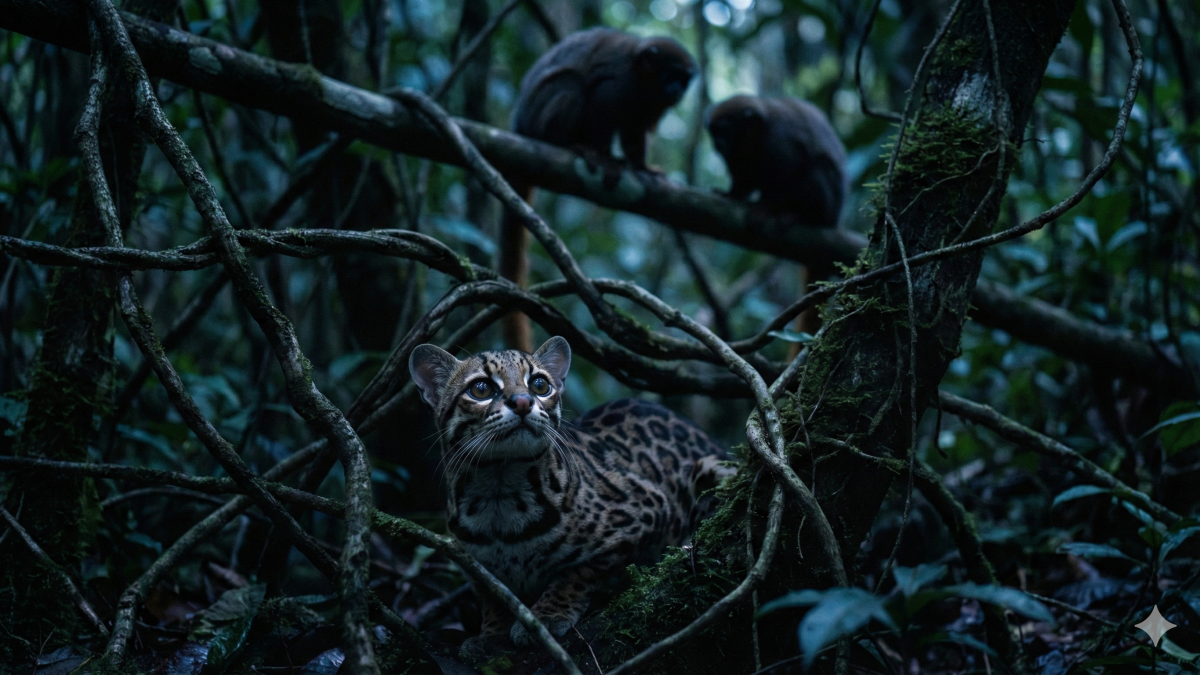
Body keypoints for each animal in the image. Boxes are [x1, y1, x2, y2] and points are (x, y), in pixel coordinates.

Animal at [499, 28, 697, 352]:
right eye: (670, 75)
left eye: (683, 79)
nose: (677, 90)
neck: (642, 81)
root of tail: (520, 127)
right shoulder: (620, 84)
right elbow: (601, 105)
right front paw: (602, 156)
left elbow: (633, 131)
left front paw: (642, 167)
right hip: (540, 119)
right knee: (573, 85)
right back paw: (572, 145)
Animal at [706, 95, 847, 348]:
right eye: (714, 133)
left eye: (725, 130)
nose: (718, 144)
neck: (755, 137)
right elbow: (743, 178)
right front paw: (731, 195)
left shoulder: (778, 141)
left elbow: (787, 173)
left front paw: (765, 208)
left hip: (829, 206)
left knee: (816, 170)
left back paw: (798, 215)